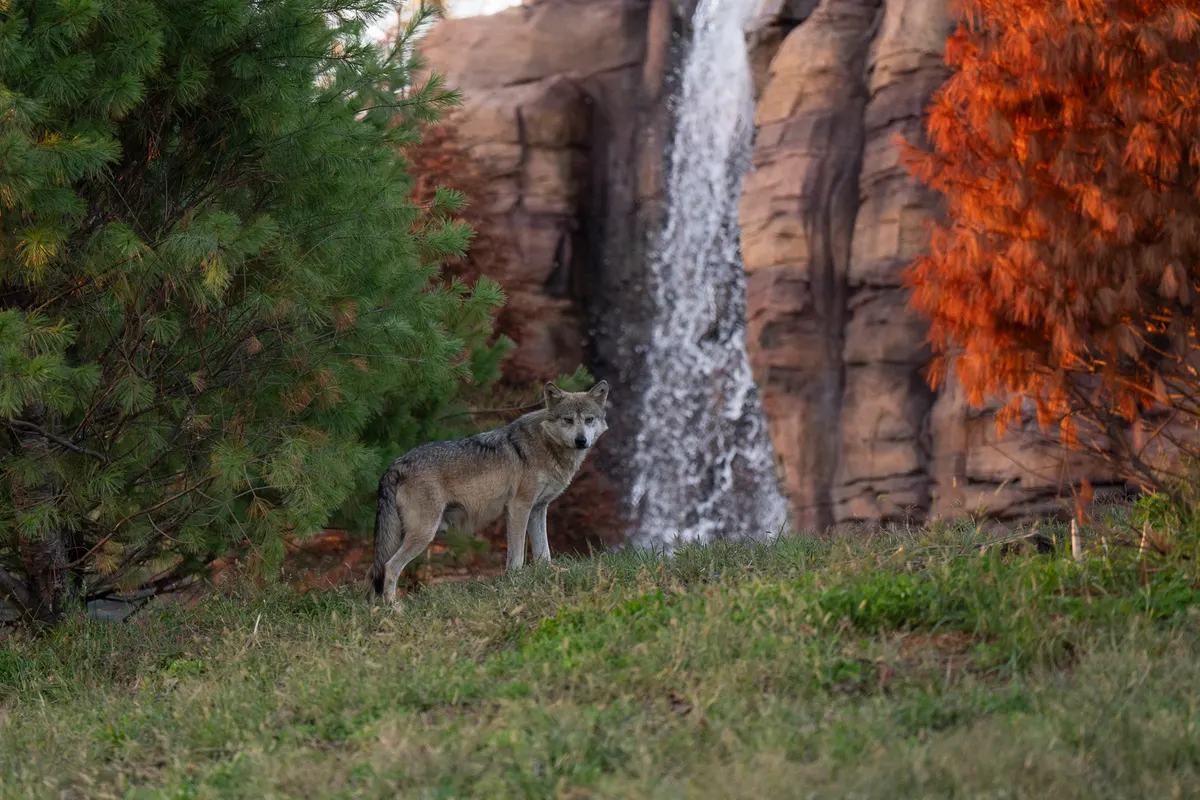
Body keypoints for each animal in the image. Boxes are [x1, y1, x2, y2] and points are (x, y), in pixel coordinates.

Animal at [369, 380, 610, 603]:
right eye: (568, 420)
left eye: (589, 419)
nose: (581, 440)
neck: (546, 444)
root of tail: (396, 464)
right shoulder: (519, 506)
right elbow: (517, 555)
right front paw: (516, 583)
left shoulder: (537, 509)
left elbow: (544, 553)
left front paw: (551, 576)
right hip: (424, 532)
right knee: (390, 567)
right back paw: (394, 608)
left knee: (377, 569)